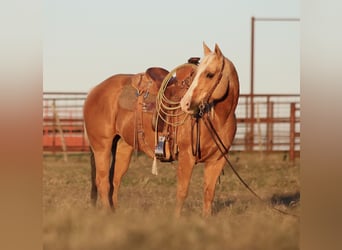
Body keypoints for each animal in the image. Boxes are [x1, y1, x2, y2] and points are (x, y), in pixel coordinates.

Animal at [83, 43, 239, 217]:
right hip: (101, 147)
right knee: (103, 182)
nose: (186, 103)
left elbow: (208, 194)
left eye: (210, 74)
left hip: (122, 147)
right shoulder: (186, 157)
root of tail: (95, 90)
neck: (218, 118)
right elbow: (182, 192)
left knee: (114, 182)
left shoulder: (217, 161)